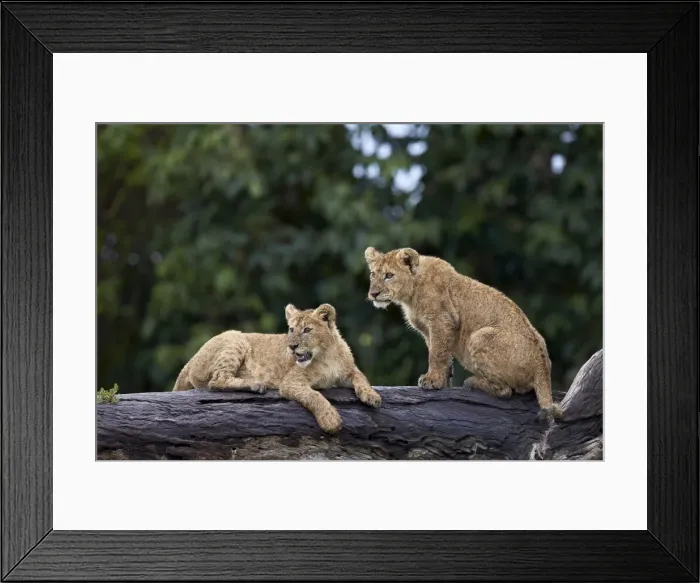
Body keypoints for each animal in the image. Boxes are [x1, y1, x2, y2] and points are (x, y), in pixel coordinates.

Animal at [172, 303, 382, 434]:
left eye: (307, 330)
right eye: (291, 329)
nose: (292, 346)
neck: (326, 354)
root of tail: (191, 360)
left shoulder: (348, 371)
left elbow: (362, 378)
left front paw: (372, 396)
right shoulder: (291, 382)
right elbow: (315, 396)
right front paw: (330, 420)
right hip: (235, 338)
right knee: (217, 380)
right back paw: (256, 384)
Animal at [364, 247, 561, 420]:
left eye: (389, 276)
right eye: (373, 274)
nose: (373, 294)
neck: (411, 293)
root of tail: (543, 367)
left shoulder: (442, 321)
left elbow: (436, 355)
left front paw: (432, 380)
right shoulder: (430, 330)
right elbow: (444, 357)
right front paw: (443, 382)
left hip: (480, 336)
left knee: (506, 391)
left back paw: (472, 382)